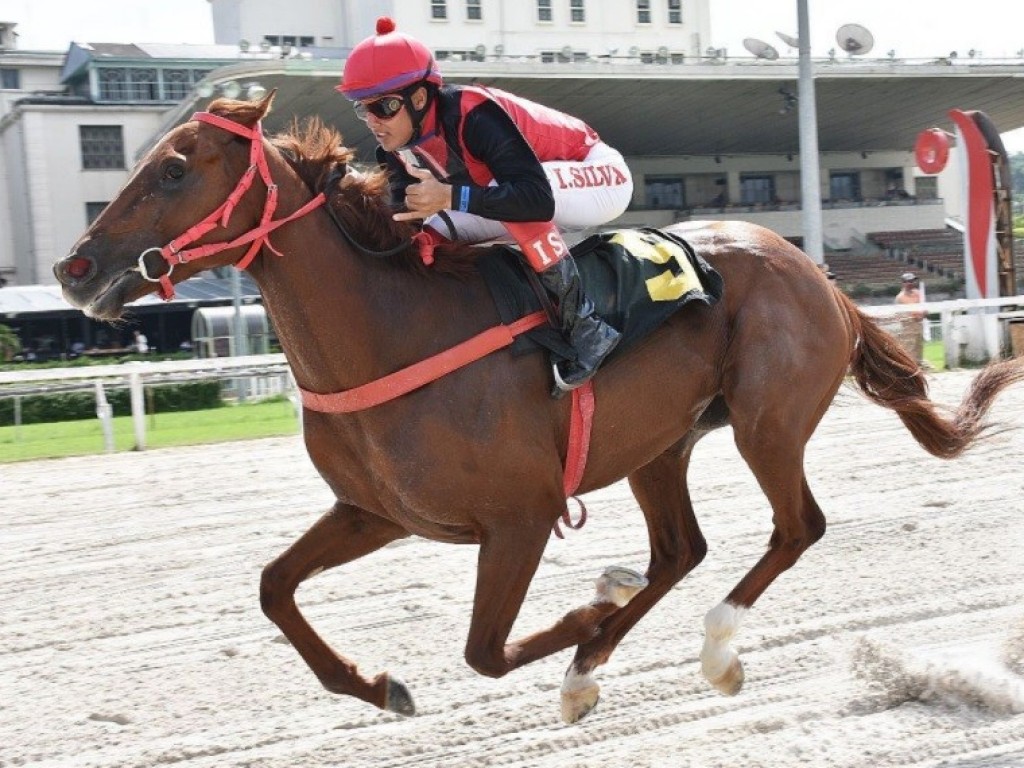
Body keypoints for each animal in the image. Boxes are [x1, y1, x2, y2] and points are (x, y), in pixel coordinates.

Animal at [54, 93, 1024, 724]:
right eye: (139, 160)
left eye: (174, 168)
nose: (76, 267)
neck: (387, 329)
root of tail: (810, 268)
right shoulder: (377, 510)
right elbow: (272, 587)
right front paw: (382, 686)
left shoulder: (518, 518)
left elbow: (484, 651)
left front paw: (586, 616)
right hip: (660, 442)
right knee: (680, 550)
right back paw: (589, 665)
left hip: (767, 421)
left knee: (796, 528)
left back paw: (707, 649)